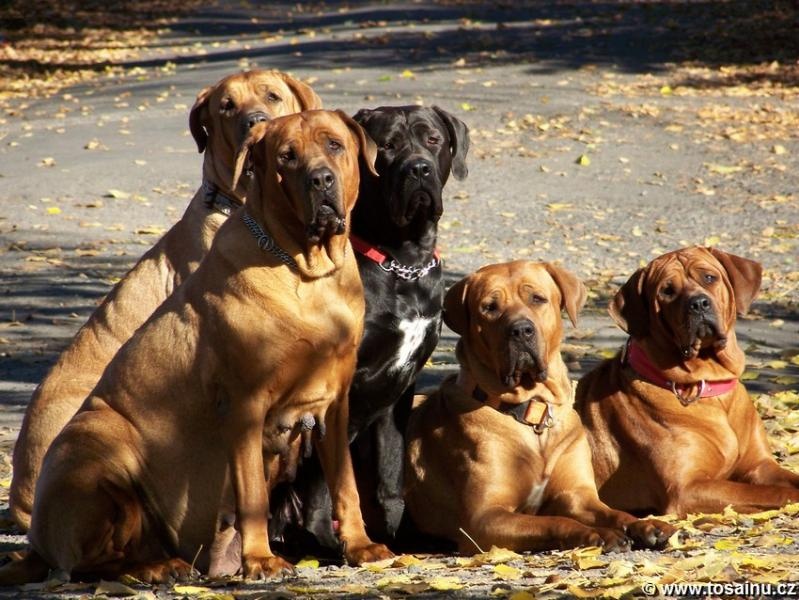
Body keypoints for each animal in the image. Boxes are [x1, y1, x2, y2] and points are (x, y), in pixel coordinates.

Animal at [270, 104, 468, 552]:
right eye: (388, 146)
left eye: (433, 140)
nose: (418, 169)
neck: (403, 262)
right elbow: (328, 488)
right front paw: (334, 544)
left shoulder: (400, 391)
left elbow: (392, 476)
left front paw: (403, 538)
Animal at [406, 260, 676, 556]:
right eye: (489, 307)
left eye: (537, 299)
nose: (521, 330)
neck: (532, 412)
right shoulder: (483, 519)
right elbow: (554, 521)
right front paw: (596, 534)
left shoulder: (577, 496)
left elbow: (615, 513)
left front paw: (645, 525)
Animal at [576, 246, 799, 512]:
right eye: (667, 291)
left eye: (709, 278)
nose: (698, 304)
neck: (708, 387)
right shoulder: (686, 489)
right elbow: (770, 492)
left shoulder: (760, 466)